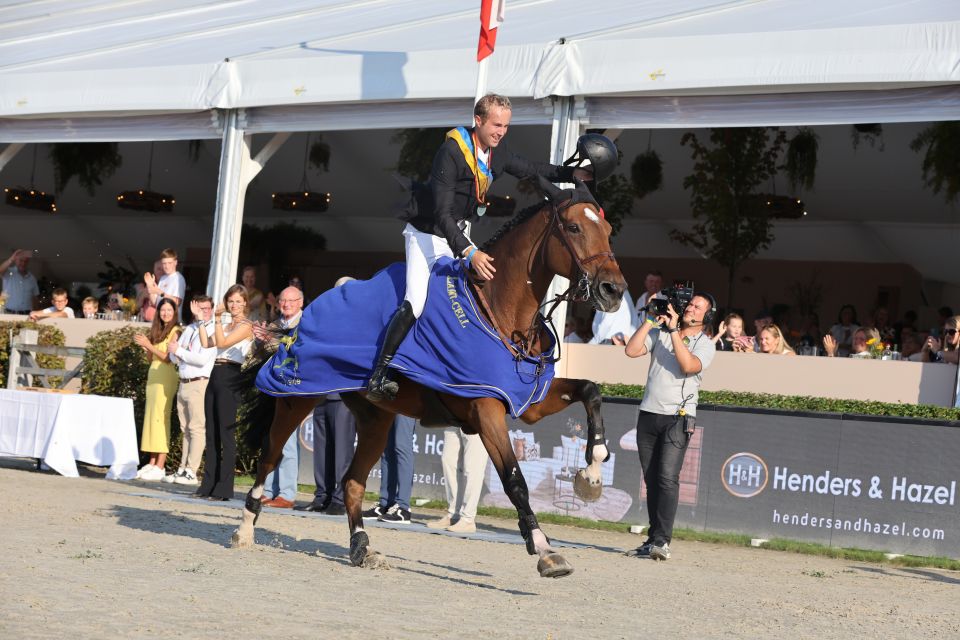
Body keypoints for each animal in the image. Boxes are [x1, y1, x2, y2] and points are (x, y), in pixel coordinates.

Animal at [229, 178, 628, 576]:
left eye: (609, 230)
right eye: (574, 228)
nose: (614, 291)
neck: (501, 311)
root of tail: (301, 318)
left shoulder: (527, 402)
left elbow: (590, 390)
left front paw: (592, 472)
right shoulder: (485, 408)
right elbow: (515, 480)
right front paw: (544, 549)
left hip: (376, 418)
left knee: (353, 481)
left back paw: (362, 547)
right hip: (297, 398)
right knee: (268, 458)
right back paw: (245, 529)